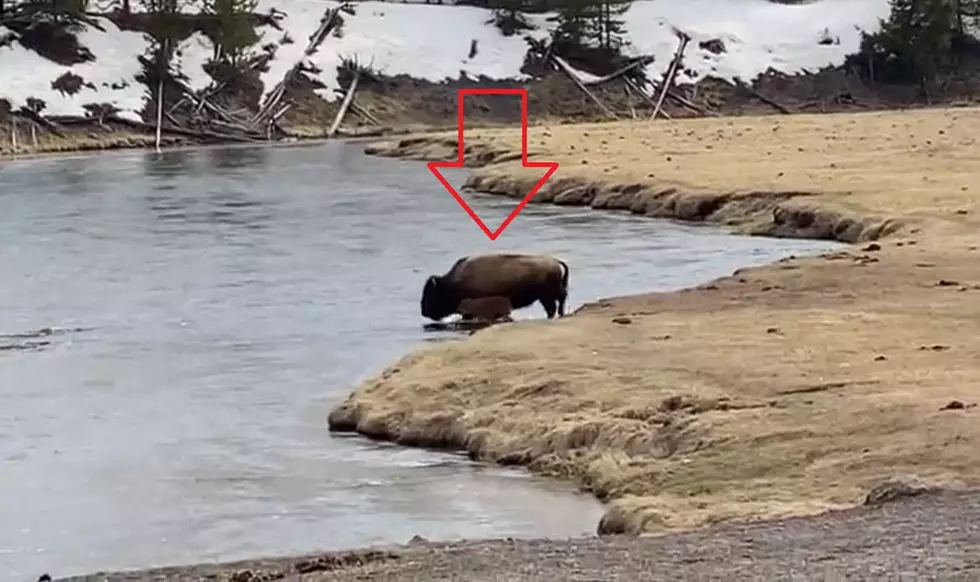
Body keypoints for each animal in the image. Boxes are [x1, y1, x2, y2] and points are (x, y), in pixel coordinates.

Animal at [420, 252, 572, 324]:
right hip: (545, 296)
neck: (451, 284)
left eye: (431, 294)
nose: (423, 312)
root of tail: (555, 261)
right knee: (554, 305)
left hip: (548, 294)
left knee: (558, 302)